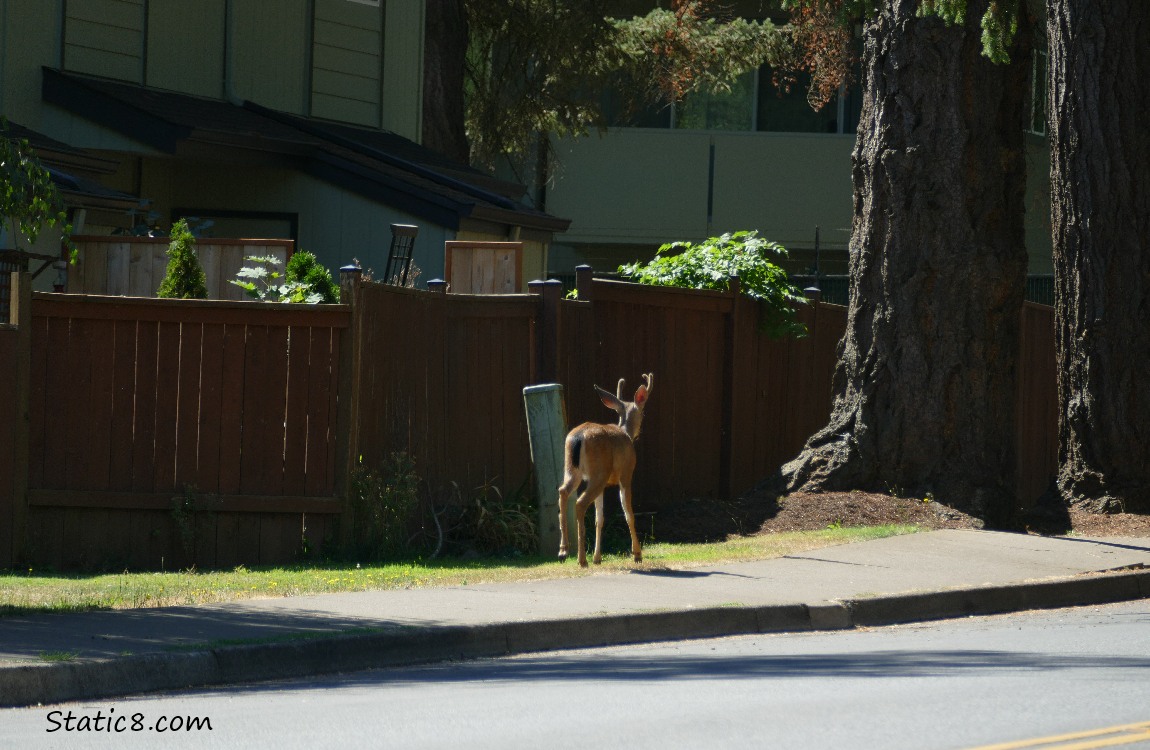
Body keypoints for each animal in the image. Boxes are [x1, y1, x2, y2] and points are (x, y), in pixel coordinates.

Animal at [557, 373, 652, 568]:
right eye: (643, 412)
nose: (639, 432)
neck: (625, 432)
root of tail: (578, 438)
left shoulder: (604, 486)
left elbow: (599, 518)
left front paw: (597, 557)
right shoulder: (626, 474)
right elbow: (628, 514)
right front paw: (637, 554)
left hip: (572, 469)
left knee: (563, 491)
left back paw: (564, 550)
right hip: (598, 473)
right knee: (580, 502)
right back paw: (581, 559)